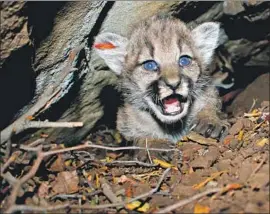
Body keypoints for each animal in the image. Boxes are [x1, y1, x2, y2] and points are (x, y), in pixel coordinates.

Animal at [94, 15, 229, 144]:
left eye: (184, 60)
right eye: (149, 65)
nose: (174, 84)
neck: (173, 126)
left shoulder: (208, 92)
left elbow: (209, 102)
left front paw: (210, 121)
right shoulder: (125, 120)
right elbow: (140, 135)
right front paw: (154, 144)